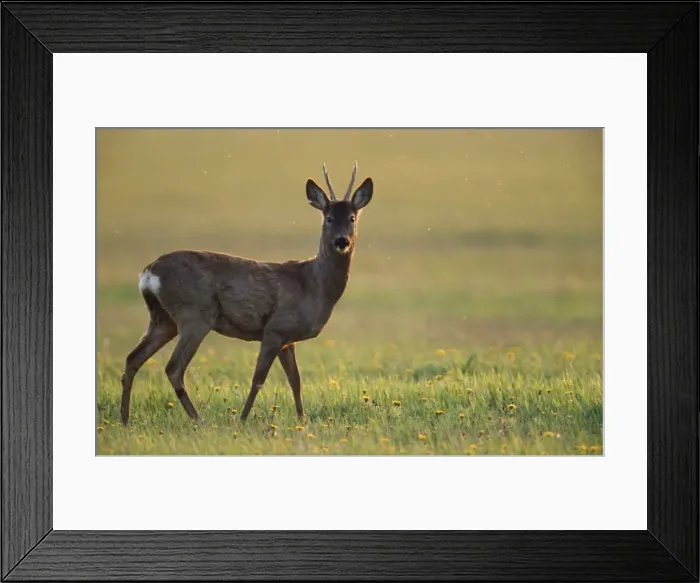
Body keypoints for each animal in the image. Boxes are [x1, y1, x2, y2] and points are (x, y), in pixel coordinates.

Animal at [119, 161, 373, 426]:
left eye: (352, 217)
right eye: (329, 218)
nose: (342, 241)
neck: (313, 285)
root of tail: (149, 273)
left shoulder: (288, 338)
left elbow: (296, 380)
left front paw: (302, 421)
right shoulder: (275, 329)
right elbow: (258, 379)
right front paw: (241, 419)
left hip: (163, 319)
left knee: (133, 359)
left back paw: (125, 420)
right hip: (194, 315)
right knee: (173, 368)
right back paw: (199, 421)